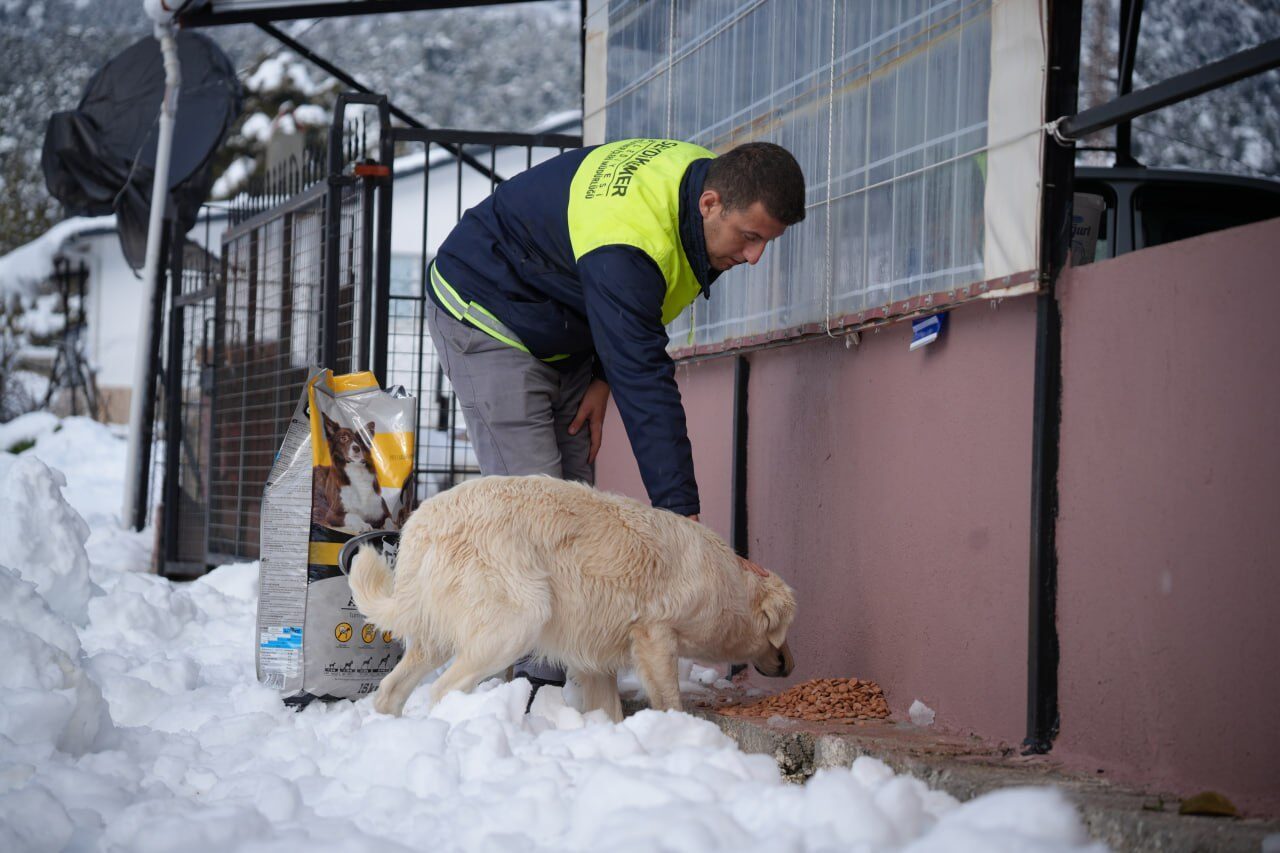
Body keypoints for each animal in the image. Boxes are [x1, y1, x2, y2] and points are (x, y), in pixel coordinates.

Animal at [345, 471, 793, 717]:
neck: (727, 581)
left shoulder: (595, 656)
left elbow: (607, 709)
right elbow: (668, 697)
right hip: (518, 620)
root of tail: (420, 524)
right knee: (442, 691)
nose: (790, 665)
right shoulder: (655, 635)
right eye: (785, 632)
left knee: (391, 691)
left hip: (436, 634)